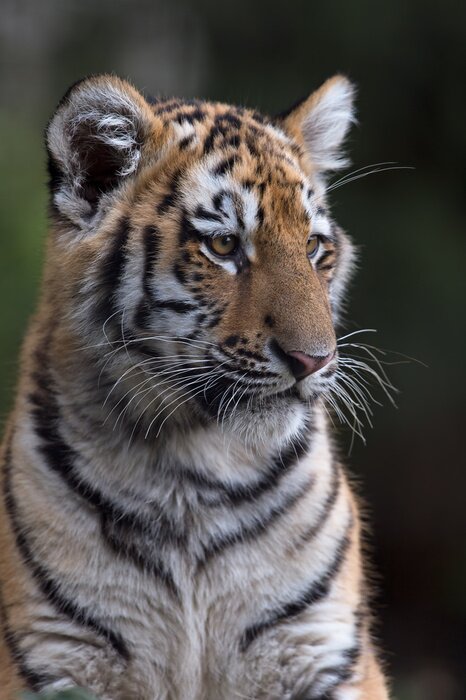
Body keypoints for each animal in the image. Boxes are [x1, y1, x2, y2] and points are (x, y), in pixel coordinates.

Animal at [0, 73, 390, 699]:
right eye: (224, 246)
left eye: (313, 248)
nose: (314, 360)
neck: (190, 471)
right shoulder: (56, 654)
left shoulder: (320, 650)